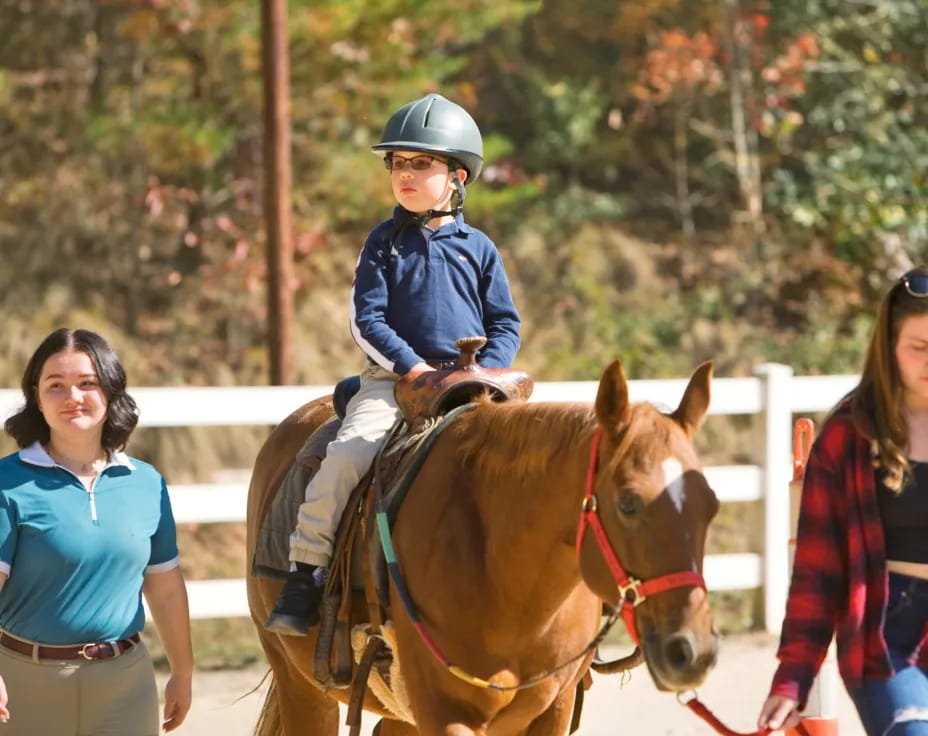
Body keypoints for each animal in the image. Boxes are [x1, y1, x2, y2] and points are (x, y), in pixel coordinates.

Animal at [250, 360, 720, 732]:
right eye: (627, 503)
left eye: (710, 504)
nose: (691, 650)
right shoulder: (445, 714)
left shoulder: (554, 709)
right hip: (303, 689)